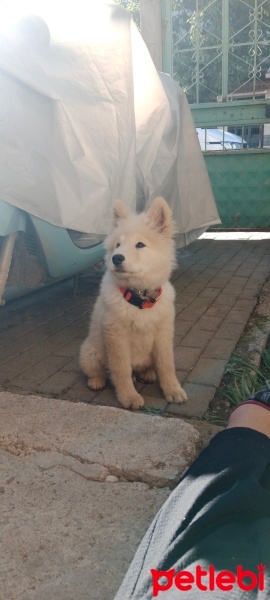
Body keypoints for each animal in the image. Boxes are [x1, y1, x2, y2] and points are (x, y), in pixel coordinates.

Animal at [79, 199, 187, 410]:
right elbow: (121, 369)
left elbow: (166, 364)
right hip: (91, 353)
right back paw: (96, 381)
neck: (139, 298)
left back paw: (148, 374)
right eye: (118, 245)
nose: (116, 258)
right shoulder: (116, 336)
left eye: (140, 245)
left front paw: (173, 390)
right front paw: (128, 396)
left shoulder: (163, 333)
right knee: (99, 371)